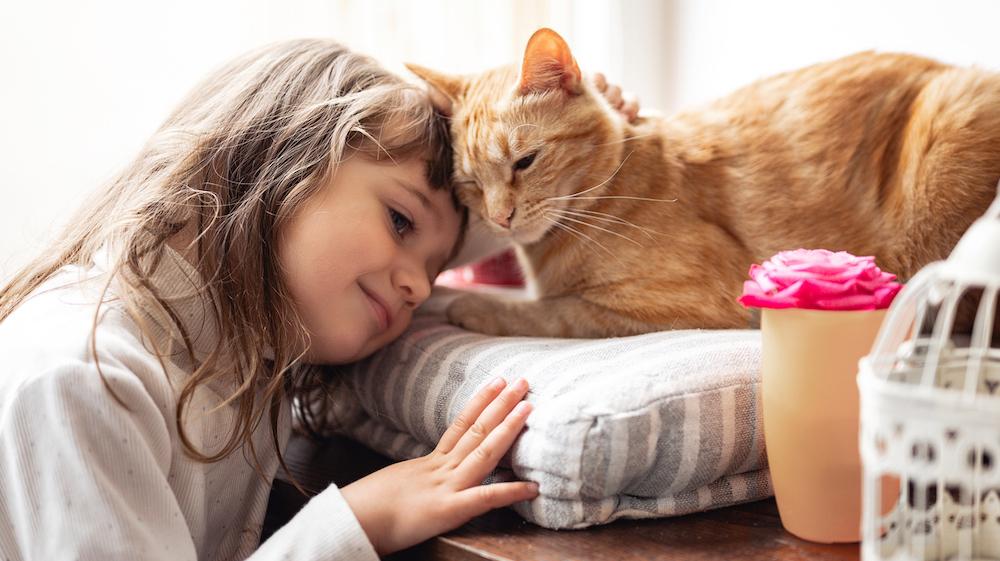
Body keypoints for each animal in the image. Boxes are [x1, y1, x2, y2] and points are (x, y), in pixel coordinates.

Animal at [406, 28, 1000, 336]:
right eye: (470, 184)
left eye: (525, 162)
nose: (500, 218)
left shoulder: (692, 305)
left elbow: (557, 313)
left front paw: (470, 307)